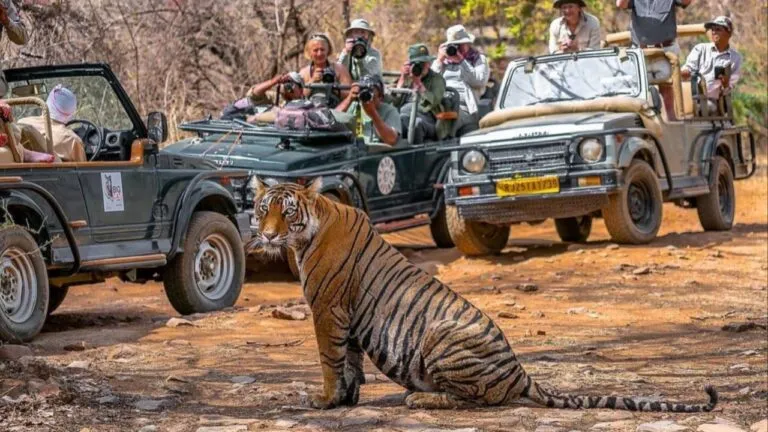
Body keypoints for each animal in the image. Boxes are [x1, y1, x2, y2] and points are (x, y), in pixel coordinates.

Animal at [246, 176, 718, 412]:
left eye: (286, 211)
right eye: (262, 209)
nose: (266, 235)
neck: (307, 232)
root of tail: (521, 372)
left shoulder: (328, 310)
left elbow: (331, 360)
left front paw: (323, 400)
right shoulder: (347, 314)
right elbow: (350, 362)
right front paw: (343, 400)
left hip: (439, 334)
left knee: (475, 399)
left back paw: (418, 397)